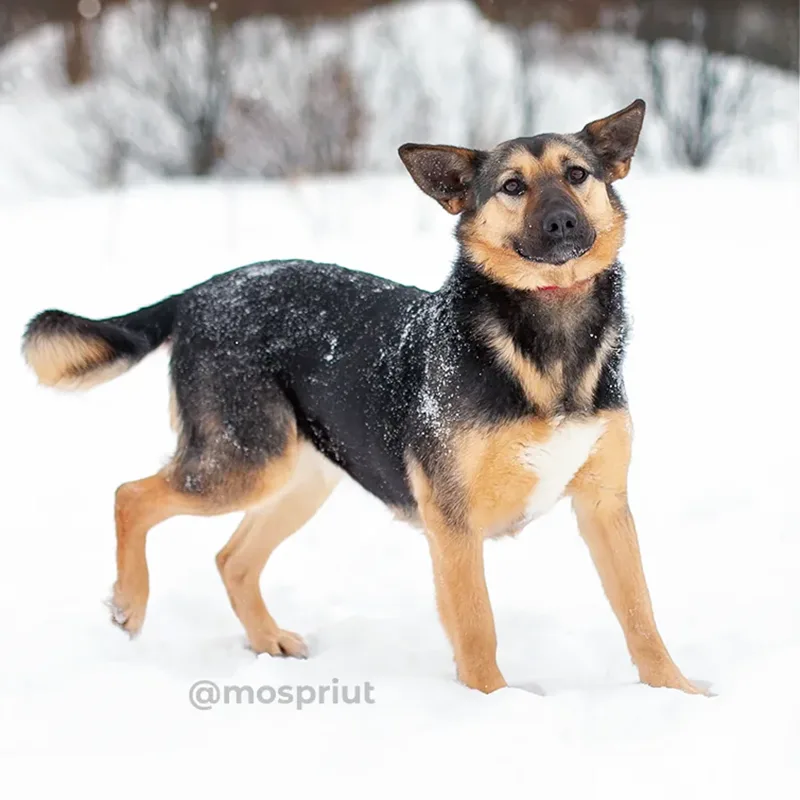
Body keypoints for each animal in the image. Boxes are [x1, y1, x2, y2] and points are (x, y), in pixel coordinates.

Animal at [21, 100, 700, 692]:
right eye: (512, 186)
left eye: (577, 174)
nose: (561, 222)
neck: (548, 332)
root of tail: (200, 292)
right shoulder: (452, 521)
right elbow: (477, 628)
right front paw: (495, 706)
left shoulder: (604, 506)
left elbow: (641, 615)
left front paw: (679, 693)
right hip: (247, 461)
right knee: (130, 496)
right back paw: (129, 605)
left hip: (301, 477)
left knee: (231, 558)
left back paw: (266, 641)